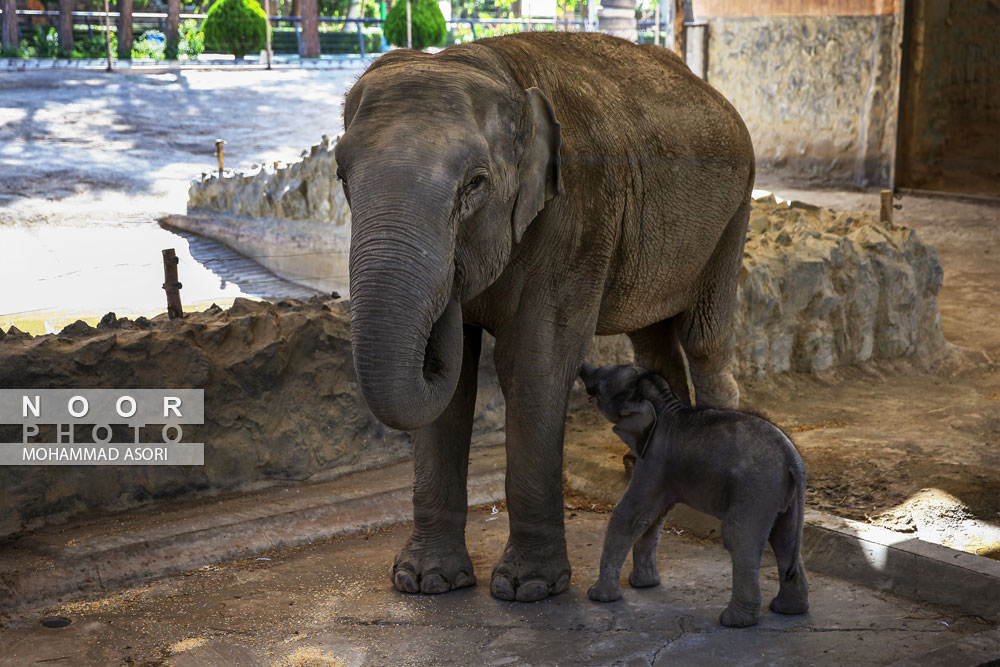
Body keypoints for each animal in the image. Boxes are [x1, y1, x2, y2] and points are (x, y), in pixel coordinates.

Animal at [336, 31, 752, 604]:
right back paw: (644, 463)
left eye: (475, 184)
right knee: (652, 339)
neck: (493, 67)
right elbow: (456, 387)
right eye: (340, 175)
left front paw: (530, 588)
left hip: (733, 213)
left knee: (704, 340)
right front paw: (425, 581)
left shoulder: (578, 213)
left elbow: (535, 361)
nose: (453, 285)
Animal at [584, 362, 808, 628]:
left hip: (756, 487)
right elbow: (653, 518)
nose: (583, 367)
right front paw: (643, 585)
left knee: (739, 537)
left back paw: (734, 622)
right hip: (781, 491)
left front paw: (597, 596)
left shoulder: (653, 461)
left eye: (601, 386)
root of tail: (792, 457)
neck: (663, 404)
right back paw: (788, 610)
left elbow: (631, 516)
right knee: (784, 536)